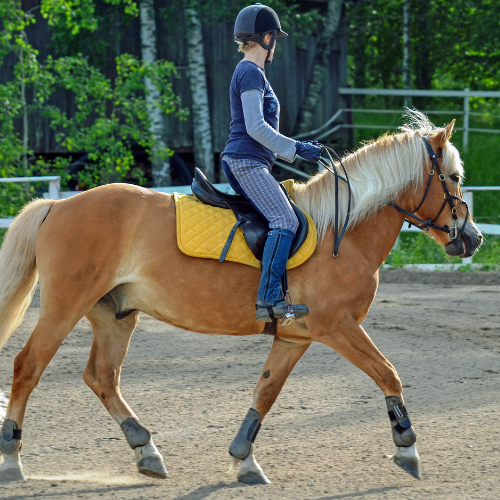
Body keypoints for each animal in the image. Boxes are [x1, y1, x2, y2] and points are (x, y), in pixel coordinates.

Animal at [0, 110, 482, 484]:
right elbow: (388, 374)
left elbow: (265, 393)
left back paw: (146, 449)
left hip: (115, 315)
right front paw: (406, 447)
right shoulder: (339, 327)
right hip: (65, 306)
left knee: (102, 377)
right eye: (454, 178)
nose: (473, 239)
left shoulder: (295, 336)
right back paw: (12, 458)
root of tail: (57, 205)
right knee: (28, 366)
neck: (341, 233)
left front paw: (243, 459)